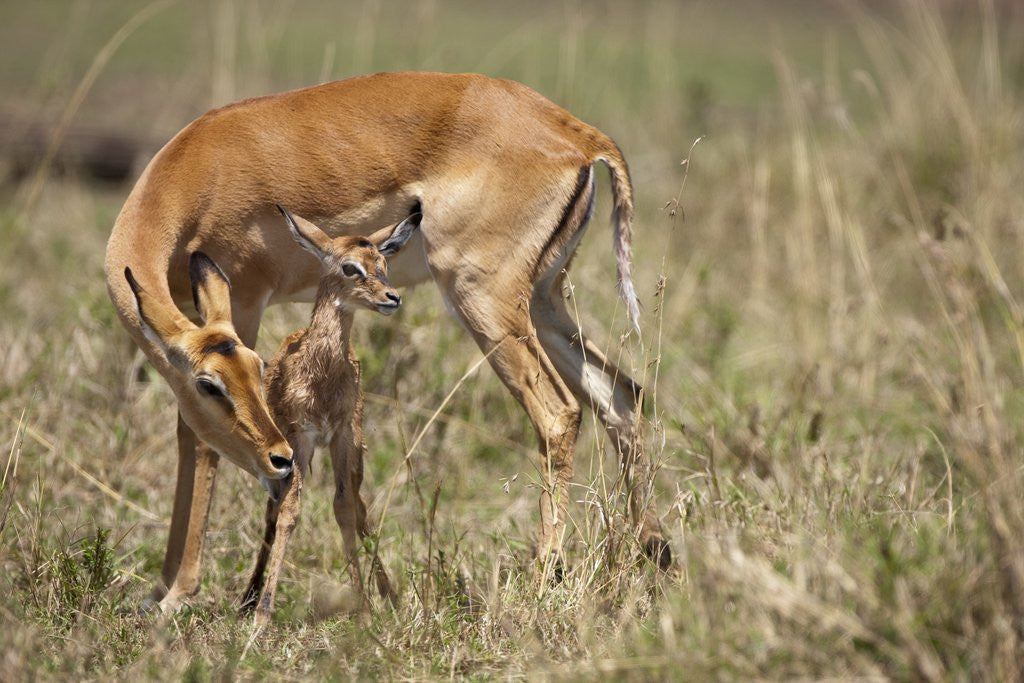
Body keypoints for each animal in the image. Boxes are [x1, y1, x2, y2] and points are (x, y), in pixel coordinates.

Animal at [239, 206, 417, 623]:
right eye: (350, 267)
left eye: (384, 264)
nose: (392, 297)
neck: (320, 374)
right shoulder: (300, 439)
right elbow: (290, 513)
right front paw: (263, 616)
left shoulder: (341, 437)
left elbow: (345, 511)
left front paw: (365, 608)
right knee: (272, 511)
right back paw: (248, 597)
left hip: (354, 454)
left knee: (361, 508)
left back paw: (390, 596)